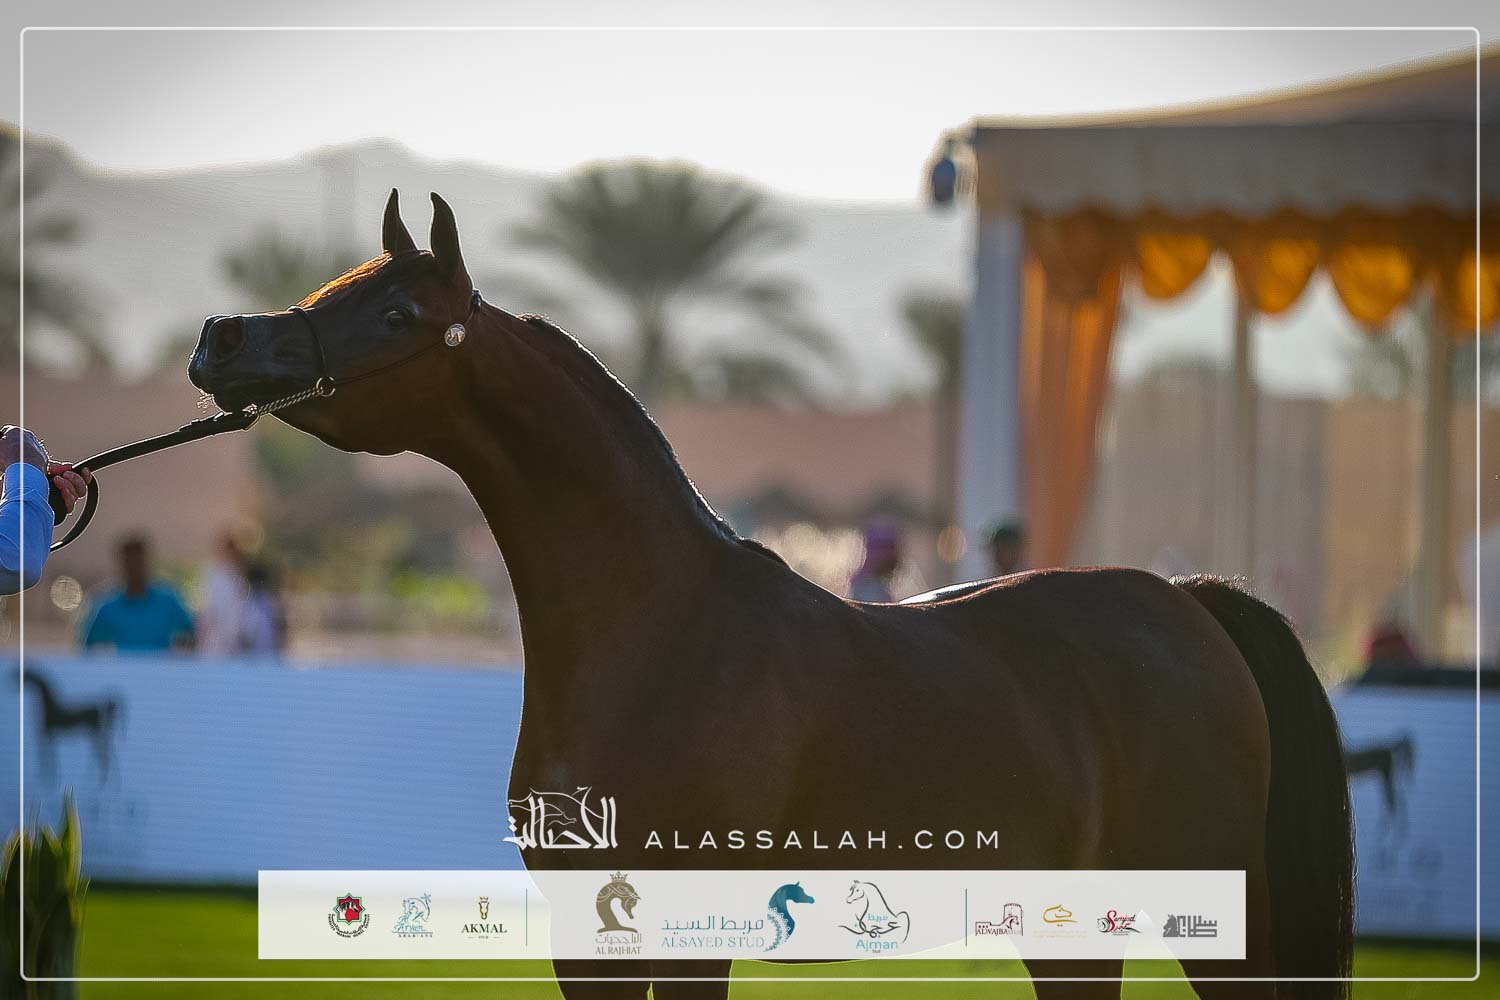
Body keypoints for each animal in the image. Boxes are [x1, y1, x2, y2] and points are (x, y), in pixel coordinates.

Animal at [187, 189, 1354, 1000]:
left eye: (393, 312)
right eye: (333, 288)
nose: (220, 338)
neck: (657, 635)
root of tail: (1190, 604)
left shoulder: (693, 939)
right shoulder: (587, 938)